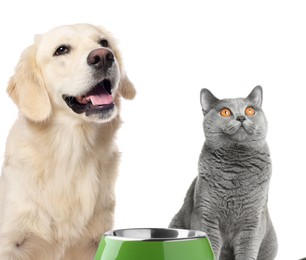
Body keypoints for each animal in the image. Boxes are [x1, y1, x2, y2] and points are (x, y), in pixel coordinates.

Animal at [169, 86, 278, 258]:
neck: (236, 167)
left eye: (250, 110)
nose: (241, 117)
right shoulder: (206, 216)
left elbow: (247, 252)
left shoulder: (253, 222)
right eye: (225, 112)